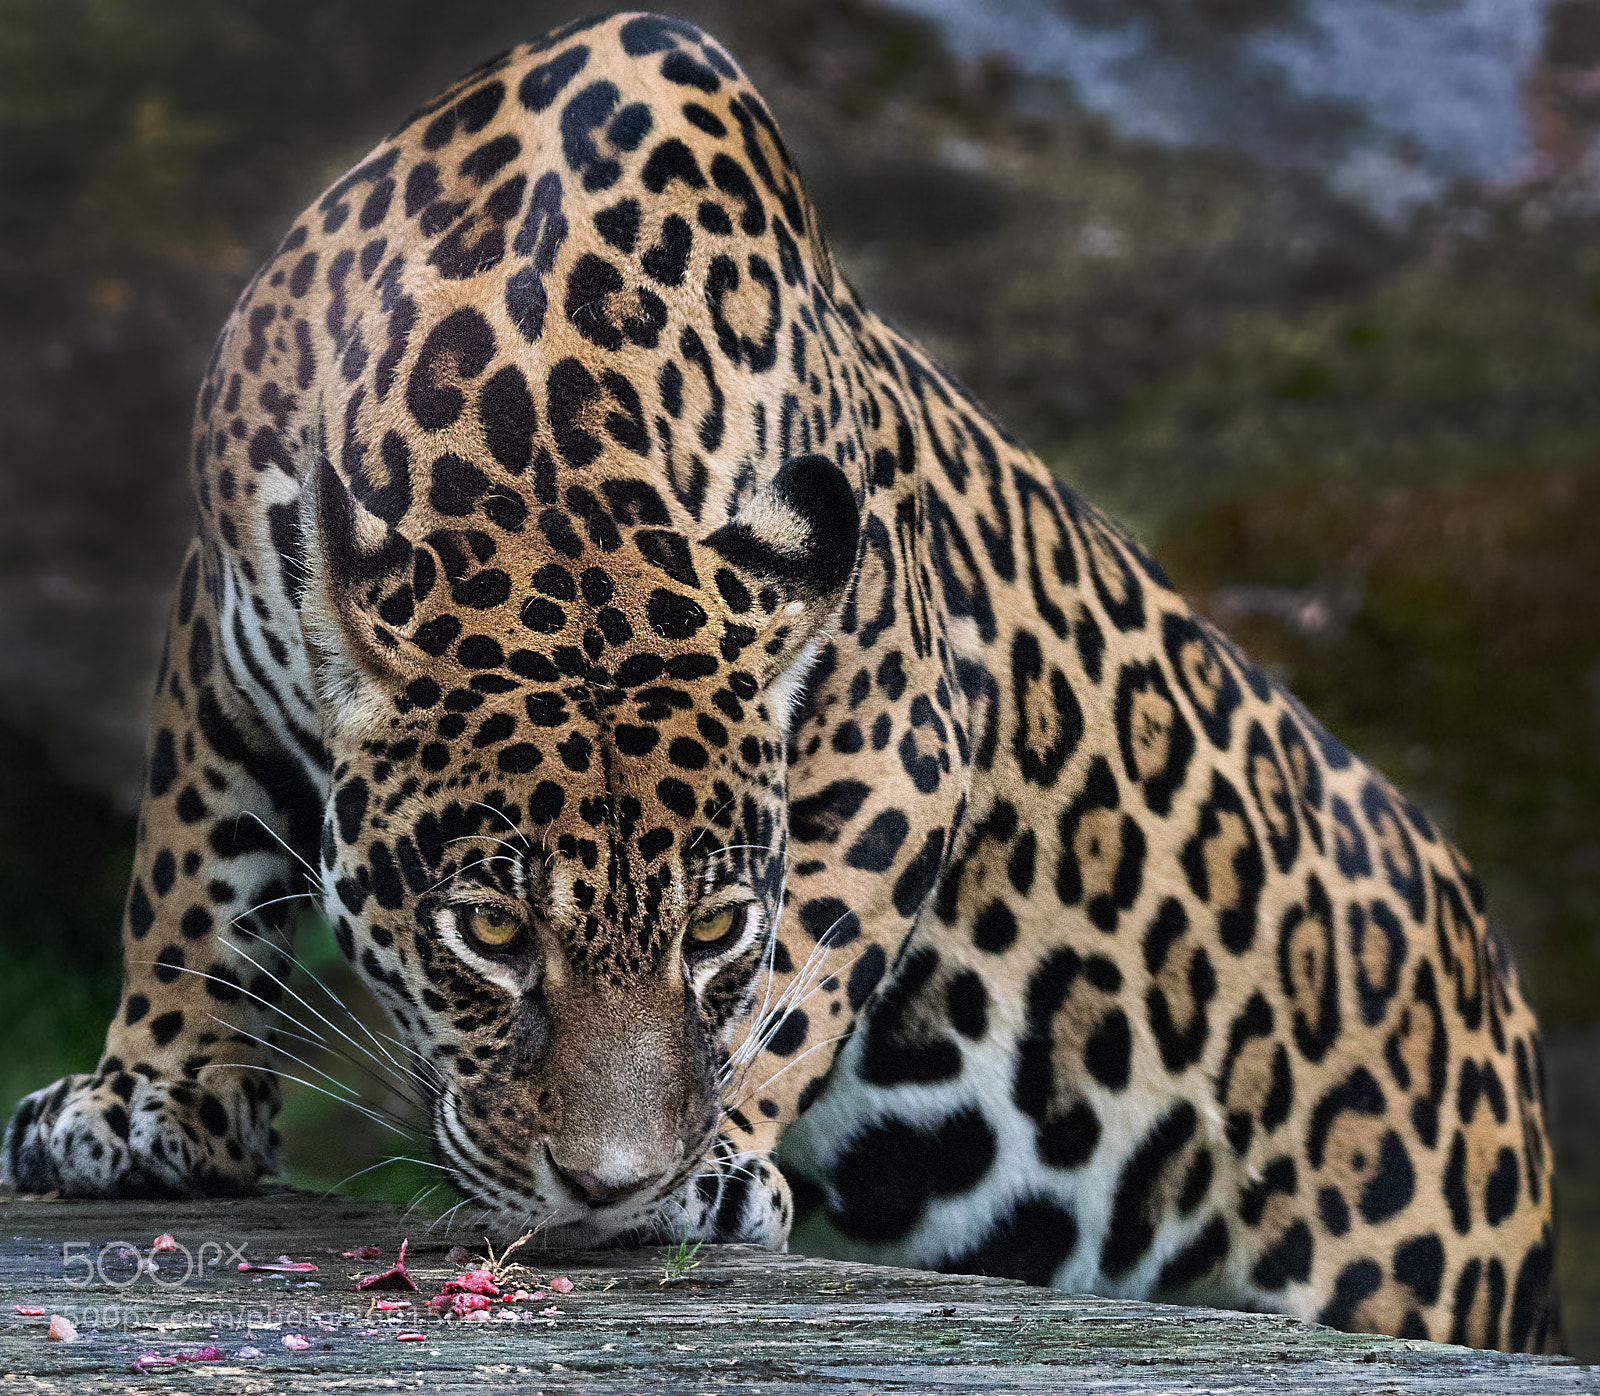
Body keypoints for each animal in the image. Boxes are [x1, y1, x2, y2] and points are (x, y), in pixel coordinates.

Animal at [1, 12, 1560, 1352]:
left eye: (712, 931)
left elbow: (807, 965)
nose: (613, 1188)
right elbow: (189, 869)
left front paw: (716, 1168)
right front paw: (157, 1105)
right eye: (490, 930)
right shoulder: (224, 615)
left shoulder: (904, 728)